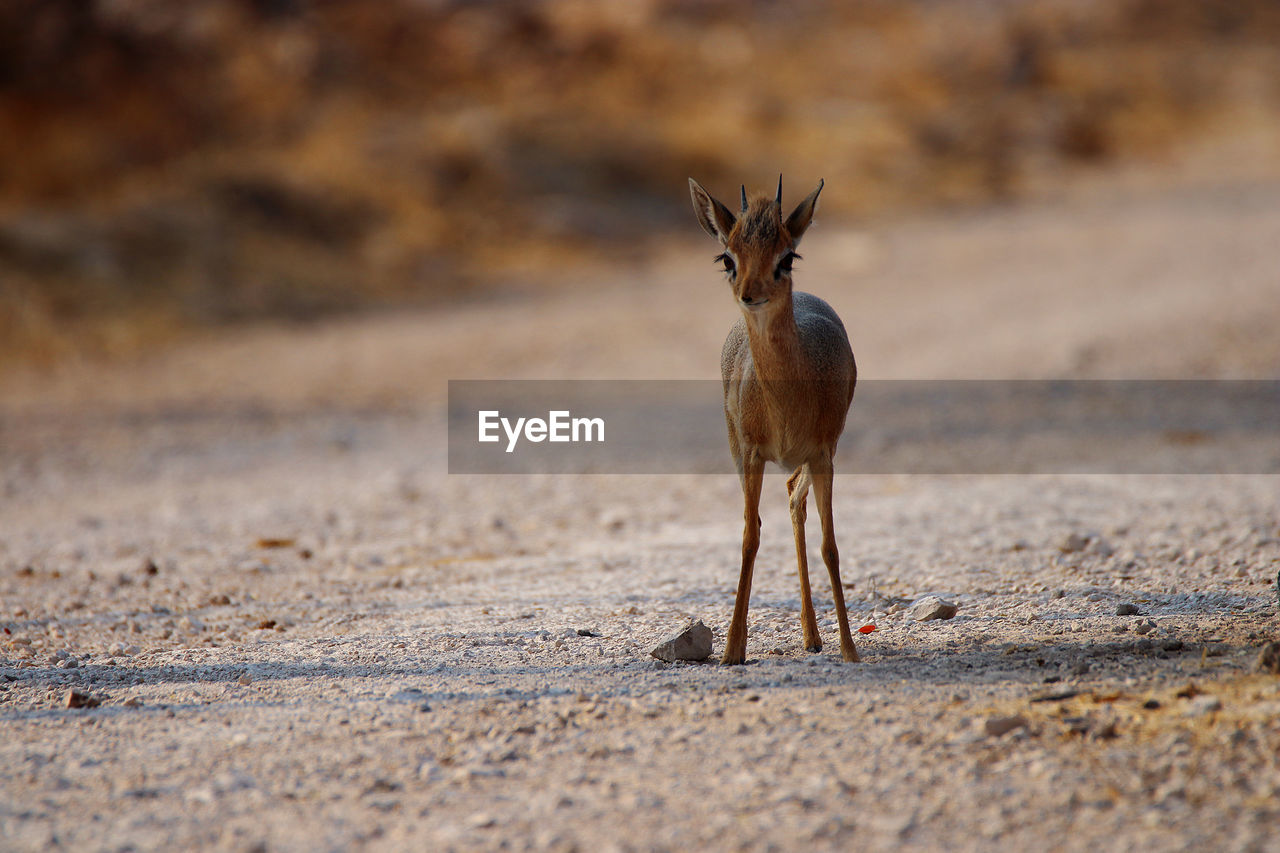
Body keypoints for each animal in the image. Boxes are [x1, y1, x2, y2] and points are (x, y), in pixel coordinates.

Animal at [691, 174, 860, 666]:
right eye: (727, 257)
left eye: (788, 256)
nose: (751, 293)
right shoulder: (750, 455)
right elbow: (750, 536)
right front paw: (731, 650)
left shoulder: (823, 456)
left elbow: (830, 545)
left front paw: (850, 649)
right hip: (742, 452)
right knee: (787, 499)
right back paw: (809, 634)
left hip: (818, 457)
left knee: (795, 501)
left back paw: (814, 635)